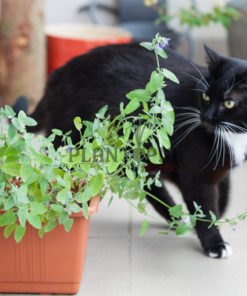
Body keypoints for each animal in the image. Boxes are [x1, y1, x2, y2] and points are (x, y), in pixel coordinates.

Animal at [14, 42, 247, 258]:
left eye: (229, 103)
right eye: (205, 96)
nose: (205, 117)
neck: (235, 135)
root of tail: (55, 76)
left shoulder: (221, 168)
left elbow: (222, 197)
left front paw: (217, 217)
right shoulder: (196, 177)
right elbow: (205, 210)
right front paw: (214, 243)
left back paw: (174, 216)